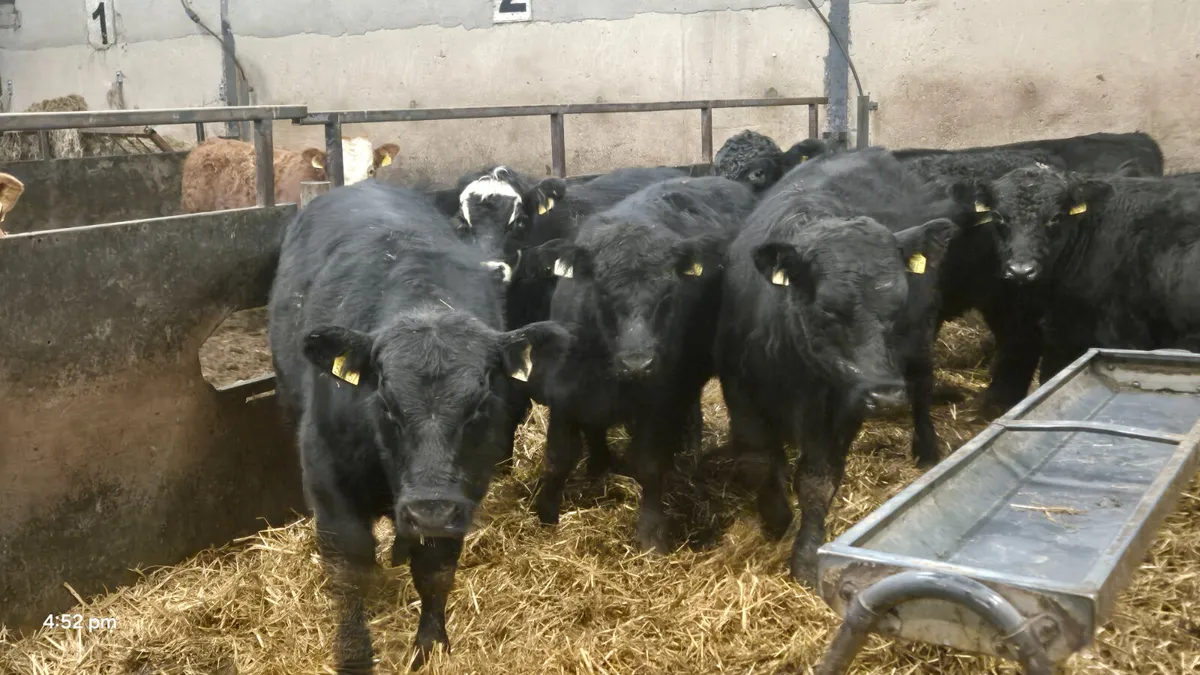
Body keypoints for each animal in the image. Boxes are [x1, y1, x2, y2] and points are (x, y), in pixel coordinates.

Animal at [267, 180, 569, 671]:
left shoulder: (463, 491)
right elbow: (349, 569)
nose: (428, 509)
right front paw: (353, 654)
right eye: (386, 402)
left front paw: (430, 644)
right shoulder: (327, 477)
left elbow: (436, 568)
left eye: (479, 403)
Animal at [527, 176, 757, 552]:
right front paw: (547, 515)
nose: (639, 363)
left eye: (667, 295)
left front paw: (651, 536)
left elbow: (649, 465)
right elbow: (558, 458)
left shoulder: (658, 400)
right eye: (603, 292)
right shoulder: (565, 393)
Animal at [715, 148, 960, 585]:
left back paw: (927, 447)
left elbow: (818, 479)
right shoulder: (741, 391)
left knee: (922, 386)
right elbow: (759, 462)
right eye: (829, 308)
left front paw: (805, 557)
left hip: (920, 342)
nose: (885, 395)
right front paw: (775, 519)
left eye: (897, 304)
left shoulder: (843, 403)